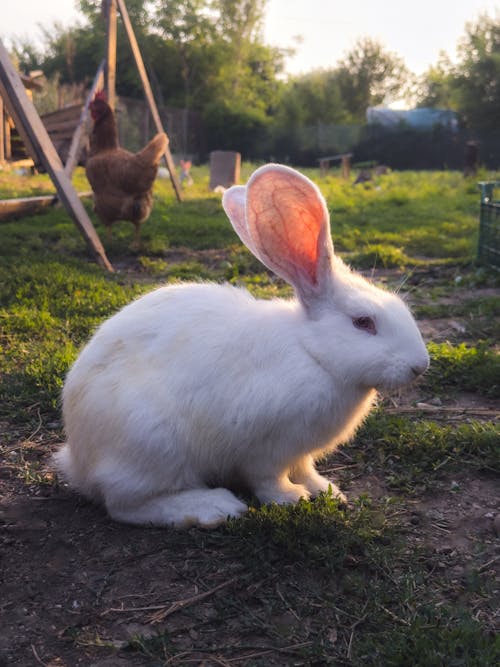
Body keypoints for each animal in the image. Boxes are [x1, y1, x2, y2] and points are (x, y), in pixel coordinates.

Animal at [54, 163, 430, 528]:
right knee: (125, 505)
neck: (313, 353)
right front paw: (292, 498)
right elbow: (268, 479)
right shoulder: (266, 448)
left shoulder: (300, 452)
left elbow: (305, 469)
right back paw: (212, 507)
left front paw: (326, 490)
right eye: (363, 322)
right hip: (153, 445)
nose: (420, 365)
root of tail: (80, 460)